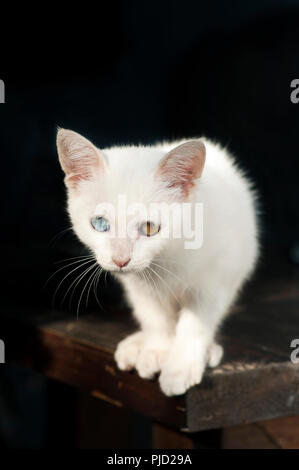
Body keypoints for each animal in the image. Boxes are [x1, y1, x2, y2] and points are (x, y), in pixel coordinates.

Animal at [57, 129, 258, 396]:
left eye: (150, 228)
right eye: (100, 223)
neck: (167, 259)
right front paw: (157, 351)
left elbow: (197, 322)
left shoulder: (217, 277)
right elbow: (153, 315)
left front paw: (180, 366)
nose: (120, 260)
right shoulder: (138, 284)